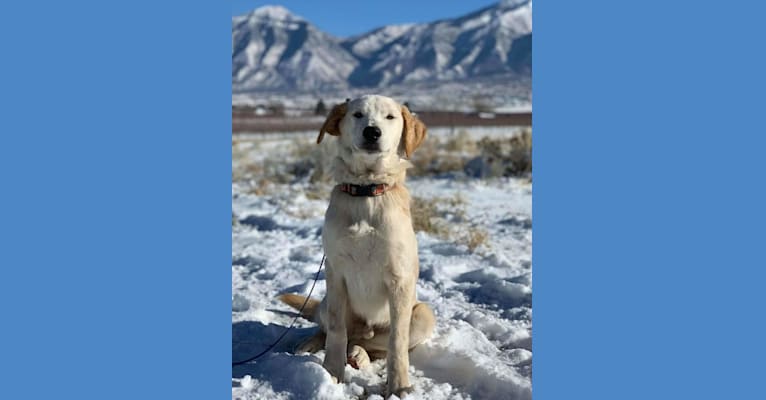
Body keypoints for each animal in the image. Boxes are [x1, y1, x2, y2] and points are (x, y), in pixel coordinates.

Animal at [280, 94, 438, 396]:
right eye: (357, 115)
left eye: (390, 117)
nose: (372, 132)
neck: (367, 192)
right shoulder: (335, 271)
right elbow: (336, 331)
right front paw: (331, 373)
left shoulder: (399, 279)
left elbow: (397, 344)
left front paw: (399, 386)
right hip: (327, 296)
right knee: (332, 329)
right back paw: (312, 344)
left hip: (424, 313)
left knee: (372, 345)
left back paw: (360, 355)